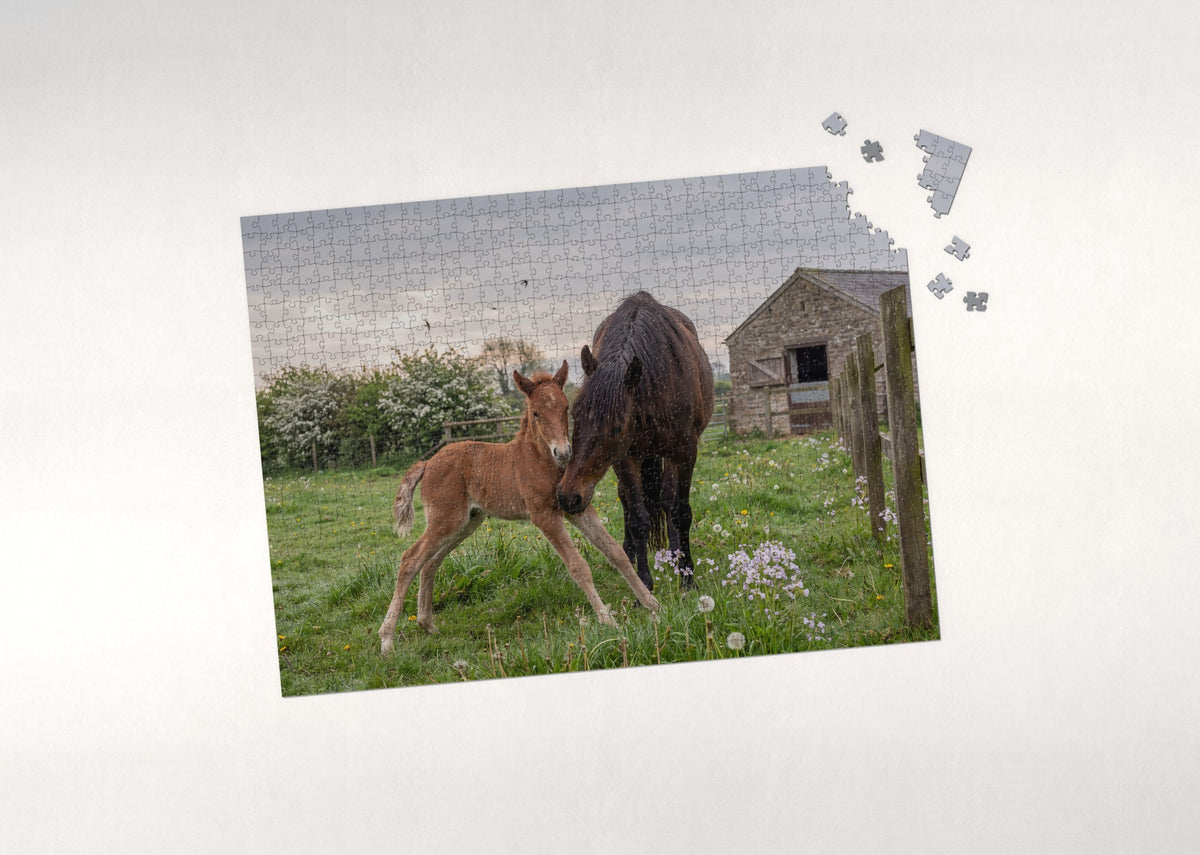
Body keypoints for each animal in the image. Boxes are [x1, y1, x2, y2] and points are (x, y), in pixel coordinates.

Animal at [378, 360, 660, 654]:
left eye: (565, 408)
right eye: (536, 412)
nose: (564, 453)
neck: (538, 459)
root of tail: (428, 463)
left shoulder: (576, 509)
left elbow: (616, 552)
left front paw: (652, 604)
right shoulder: (544, 516)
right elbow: (578, 566)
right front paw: (607, 620)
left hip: (466, 522)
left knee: (430, 562)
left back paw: (427, 624)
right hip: (447, 520)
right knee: (410, 559)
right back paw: (386, 639)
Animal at [556, 291, 714, 592]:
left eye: (617, 426)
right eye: (575, 414)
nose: (568, 496)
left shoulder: (686, 451)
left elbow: (680, 511)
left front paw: (687, 576)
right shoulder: (625, 457)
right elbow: (638, 517)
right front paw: (643, 583)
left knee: (667, 499)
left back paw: (674, 555)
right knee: (627, 501)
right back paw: (628, 554)